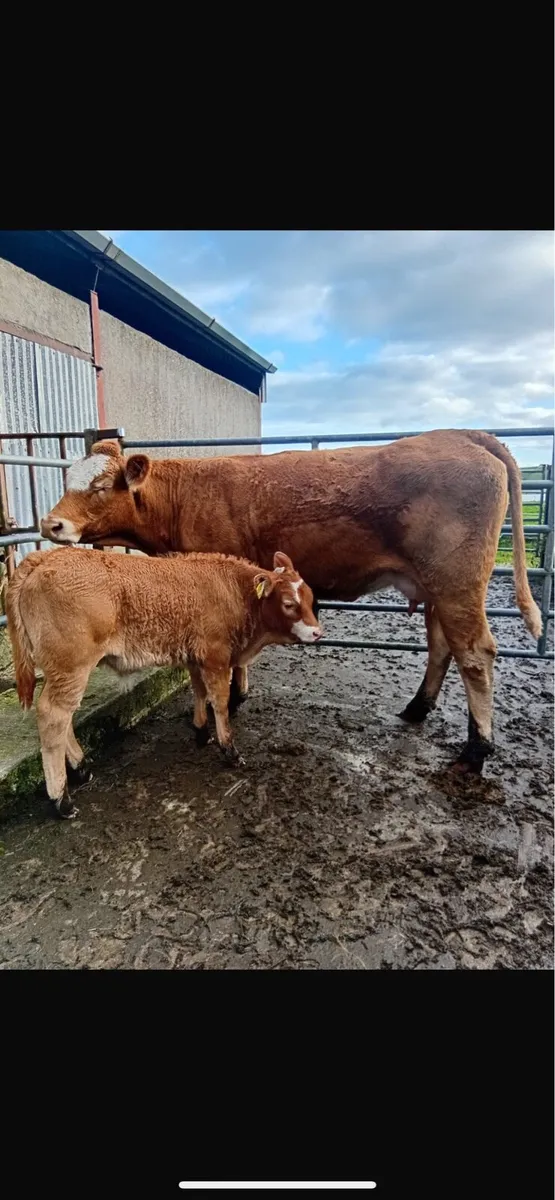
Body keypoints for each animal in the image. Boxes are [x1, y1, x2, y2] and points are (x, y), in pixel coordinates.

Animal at [6, 547, 322, 819]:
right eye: (289, 604)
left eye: (310, 597)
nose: (318, 632)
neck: (233, 590)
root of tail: (45, 557)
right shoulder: (216, 656)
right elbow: (219, 701)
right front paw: (229, 749)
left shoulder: (196, 657)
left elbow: (199, 692)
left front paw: (201, 732)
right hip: (72, 665)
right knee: (53, 716)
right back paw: (62, 799)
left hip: (62, 671)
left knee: (64, 717)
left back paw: (82, 768)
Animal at [40, 429, 542, 776]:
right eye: (65, 480)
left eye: (100, 486)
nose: (50, 524)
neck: (184, 497)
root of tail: (459, 434)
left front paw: (226, 708)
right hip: (436, 587)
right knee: (443, 647)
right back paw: (417, 709)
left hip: (458, 585)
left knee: (476, 654)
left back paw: (476, 750)